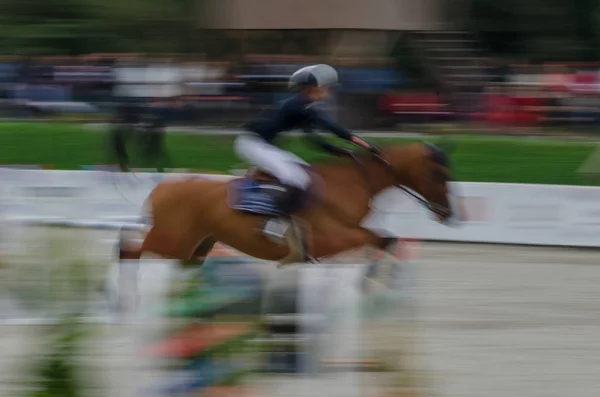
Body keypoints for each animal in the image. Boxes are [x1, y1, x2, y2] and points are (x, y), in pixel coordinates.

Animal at [116, 141, 454, 268]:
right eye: (438, 173)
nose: (448, 214)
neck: (350, 185)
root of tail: (162, 188)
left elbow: (384, 240)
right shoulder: (329, 239)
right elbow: (376, 238)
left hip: (194, 248)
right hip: (169, 240)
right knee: (127, 251)